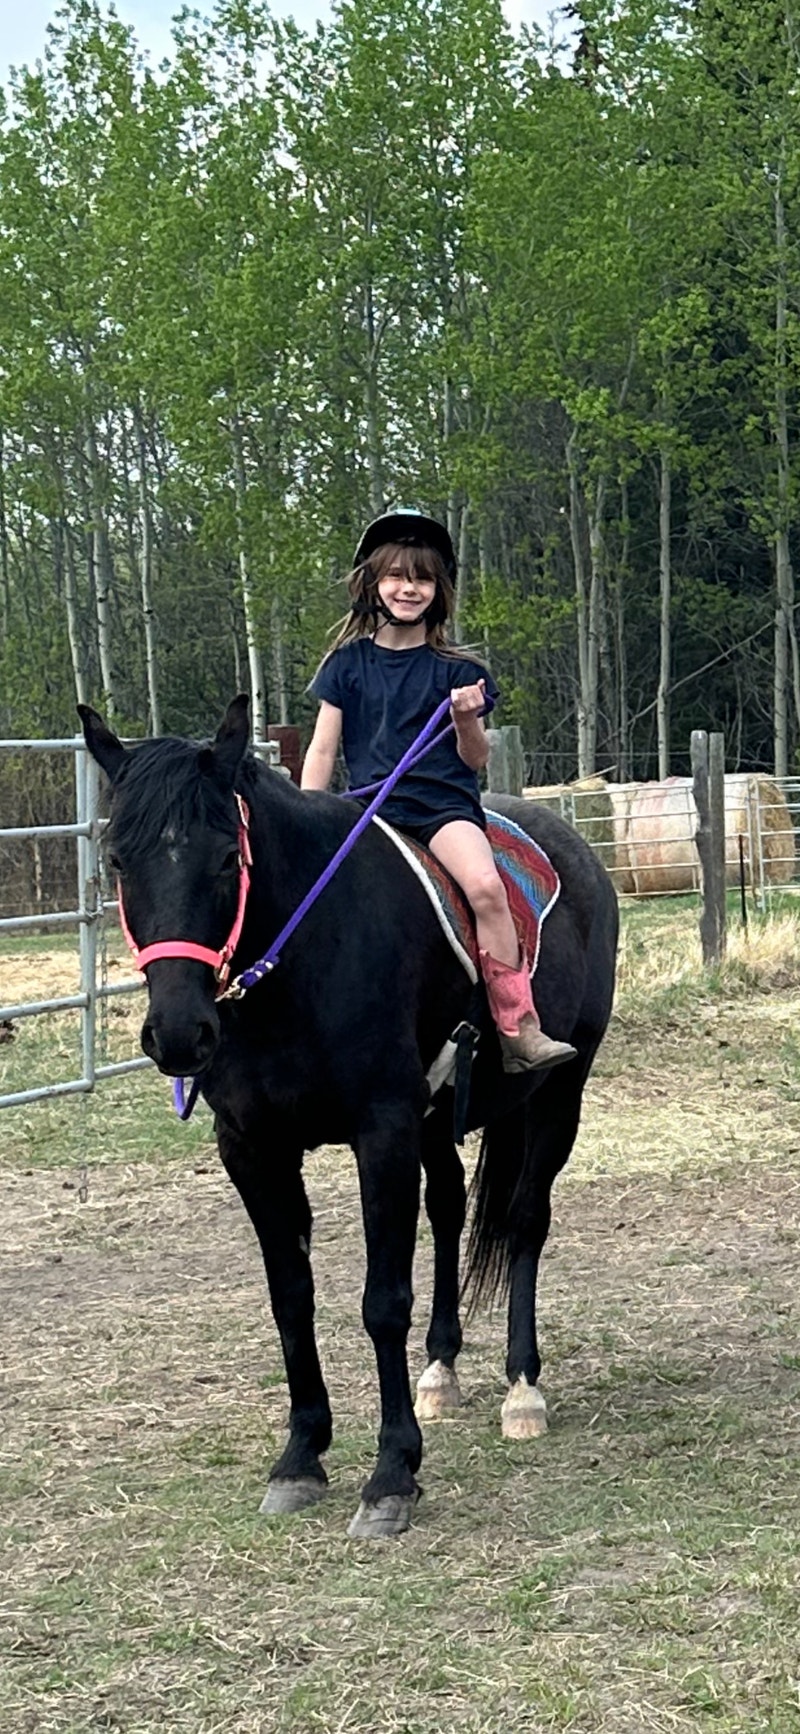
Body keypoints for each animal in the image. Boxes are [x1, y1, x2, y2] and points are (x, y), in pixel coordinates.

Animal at [80, 695, 618, 1539]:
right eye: (118, 862)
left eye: (226, 862)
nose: (179, 1034)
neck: (299, 963)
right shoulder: (253, 1148)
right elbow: (290, 1300)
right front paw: (301, 1456)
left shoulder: (382, 1132)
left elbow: (381, 1302)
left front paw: (392, 1473)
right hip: (440, 1121)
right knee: (450, 1207)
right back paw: (442, 1368)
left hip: (560, 1092)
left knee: (527, 1220)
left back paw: (521, 1389)